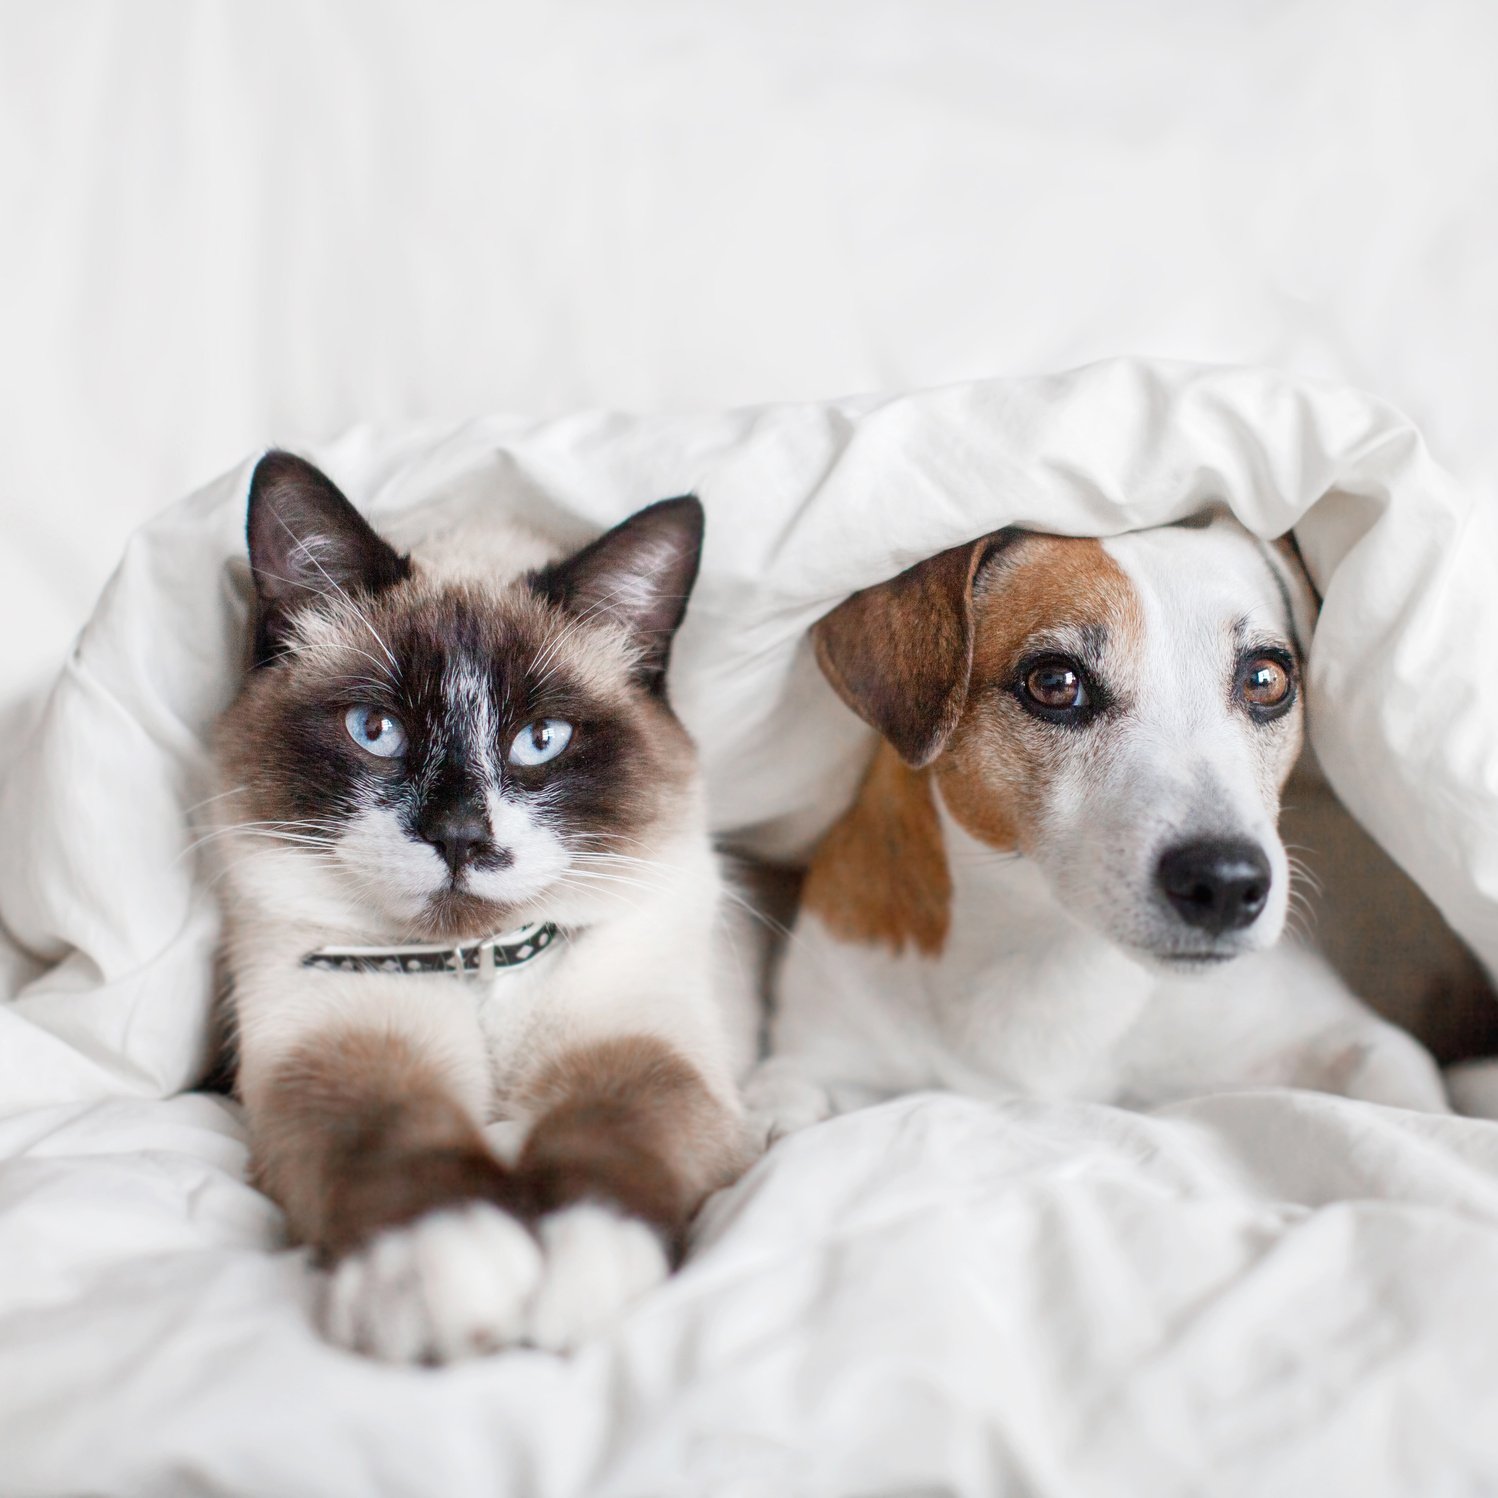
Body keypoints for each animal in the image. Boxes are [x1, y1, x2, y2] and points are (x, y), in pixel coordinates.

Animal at [211, 449, 760, 1366]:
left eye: (541, 741)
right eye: (375, 730)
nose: (461, 836)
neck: (478, 963)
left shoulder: (636, 1046)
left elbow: (615, 1137)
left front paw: (577, 1273)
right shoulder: (343, 1044)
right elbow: (391, 1138)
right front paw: (442, 1267)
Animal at [749, 509, 1450, 1126]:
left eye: (1266, 679)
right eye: (1056, 683)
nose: (1225, 882)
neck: (1051, 957)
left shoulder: (1350, 1035)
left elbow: (1404, 1087)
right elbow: (788, 1087)